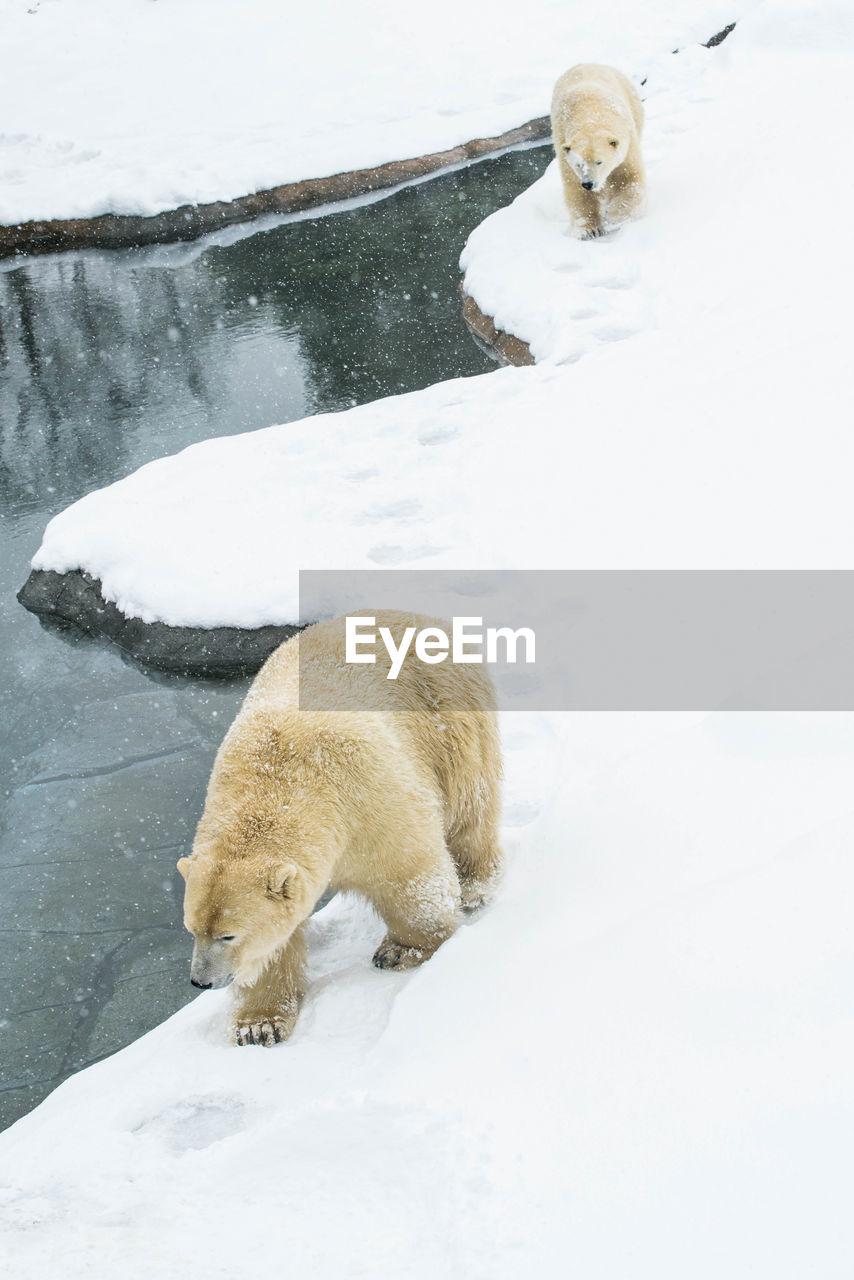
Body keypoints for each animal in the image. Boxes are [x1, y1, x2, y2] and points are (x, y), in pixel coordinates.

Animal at [176, 611, 504, 1049]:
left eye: (228, 935)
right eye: (192, 929)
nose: (201, 981)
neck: (277, 781)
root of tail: (430, 620)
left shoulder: (367, 797)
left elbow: (410, 873)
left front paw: (401, 951)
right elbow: (274, 944)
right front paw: (258, 1026)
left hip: (448, 715)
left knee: (470, 808)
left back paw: (474, 886)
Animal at [550, 62, 645, 239]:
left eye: (599, 162)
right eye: (579, 164)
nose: (588, 183)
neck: (589, 113)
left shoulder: (627, 141)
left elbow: (628, 177)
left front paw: (616, 216)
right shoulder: (563, 144)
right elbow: (576, 190)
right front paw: (589, 230)